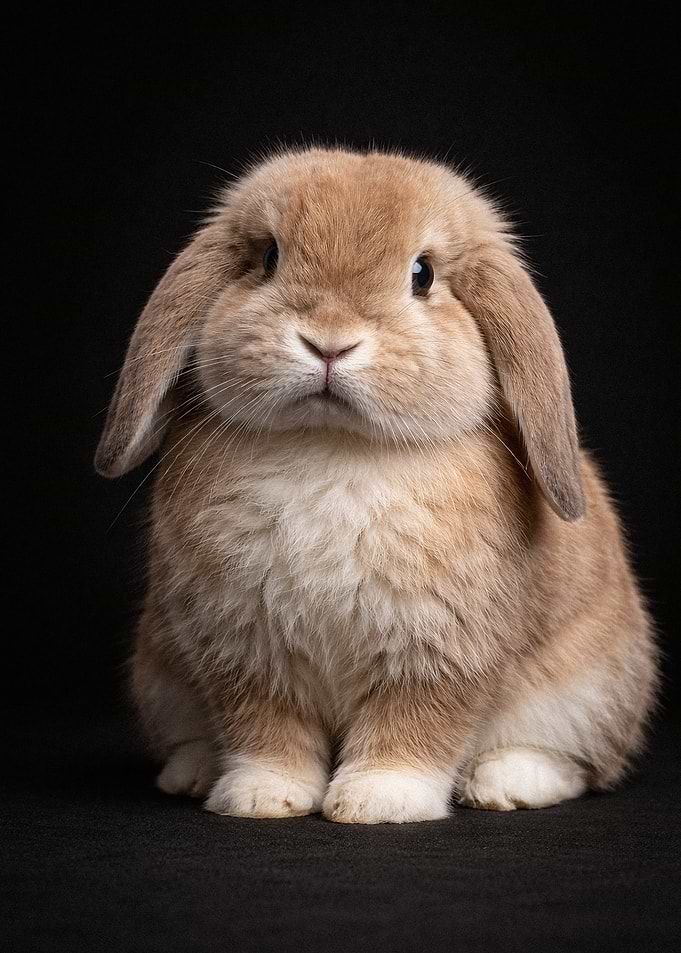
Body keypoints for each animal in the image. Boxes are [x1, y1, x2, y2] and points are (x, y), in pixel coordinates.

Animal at [96, 146, 658, 823]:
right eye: (269, 257)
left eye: (423, 275)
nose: (329, 343)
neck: (335, 446)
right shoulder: (245, 646)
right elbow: (265, 728)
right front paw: (263, 797)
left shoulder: (438, 651)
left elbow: (412, 724)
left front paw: (379, 801)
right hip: (160, 675)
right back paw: (195, 773)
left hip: (586, 692)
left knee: (569, 759)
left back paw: (507, 785)